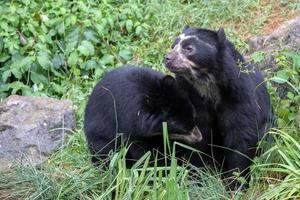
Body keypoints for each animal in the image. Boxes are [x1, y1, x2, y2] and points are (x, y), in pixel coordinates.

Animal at [164, 27, 272, 188]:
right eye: (173, 46)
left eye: (189, 48)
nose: (167, 58)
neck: (206, 85)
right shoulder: (192, 99)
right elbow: (198, 135)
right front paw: (196, 176)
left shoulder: (239, 96)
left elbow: (240, 135)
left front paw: (235, 183)